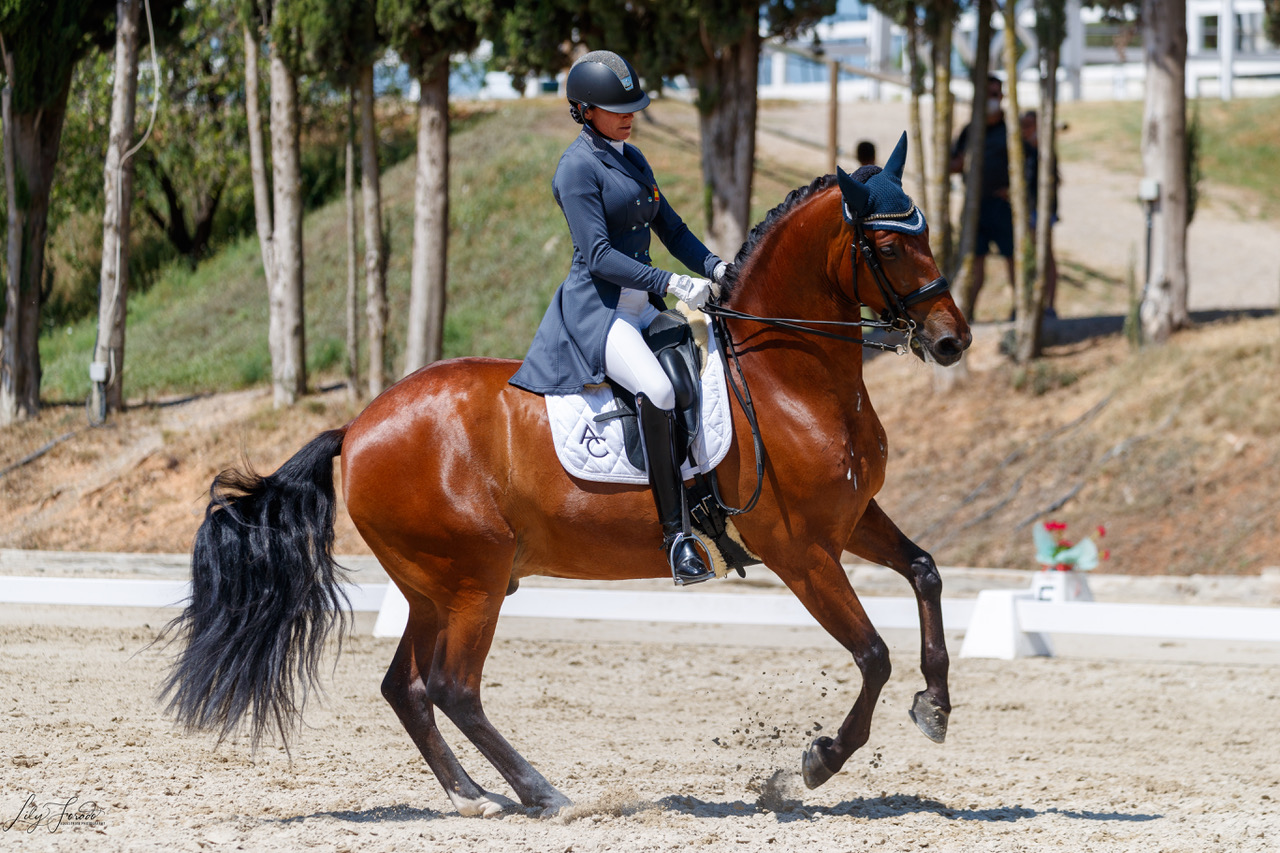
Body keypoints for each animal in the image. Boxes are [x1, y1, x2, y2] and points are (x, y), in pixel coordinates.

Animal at [165, 137, 972, 819]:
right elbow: (872, 654)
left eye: (926, 232)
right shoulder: (799, 550)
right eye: (890, 243)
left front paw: (934, 706)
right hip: (475, 576)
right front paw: (817, 760)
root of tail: (357, 427)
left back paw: (472, 797)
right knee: (454, 687)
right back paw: (543, 792)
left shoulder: (853, 518)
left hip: (435, 587)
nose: (952, 341)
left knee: (408, 686)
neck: (787, 376)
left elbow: (926, 572)